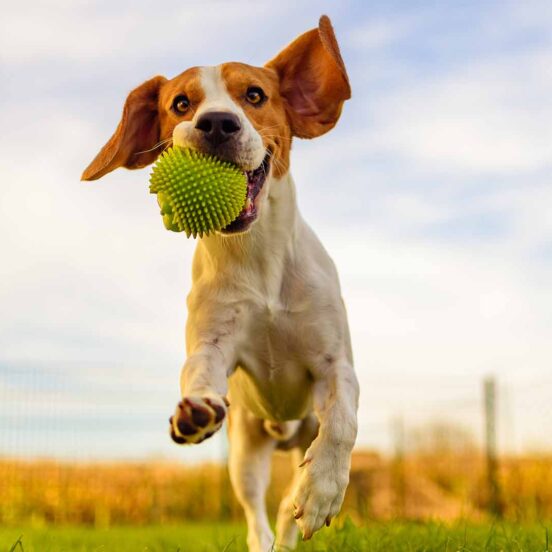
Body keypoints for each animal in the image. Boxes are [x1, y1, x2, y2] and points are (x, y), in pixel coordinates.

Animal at [81, 14, 358, 552]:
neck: (258, 259)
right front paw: (194, 411)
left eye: (254, 95)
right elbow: (198, 372)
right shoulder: (213, 343)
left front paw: (322, 491)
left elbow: (342, 422)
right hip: (245, 453)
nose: (216, 123)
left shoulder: (335, 364)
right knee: (257, 517)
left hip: (298, 434)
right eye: (180, 104)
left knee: (289, 499)